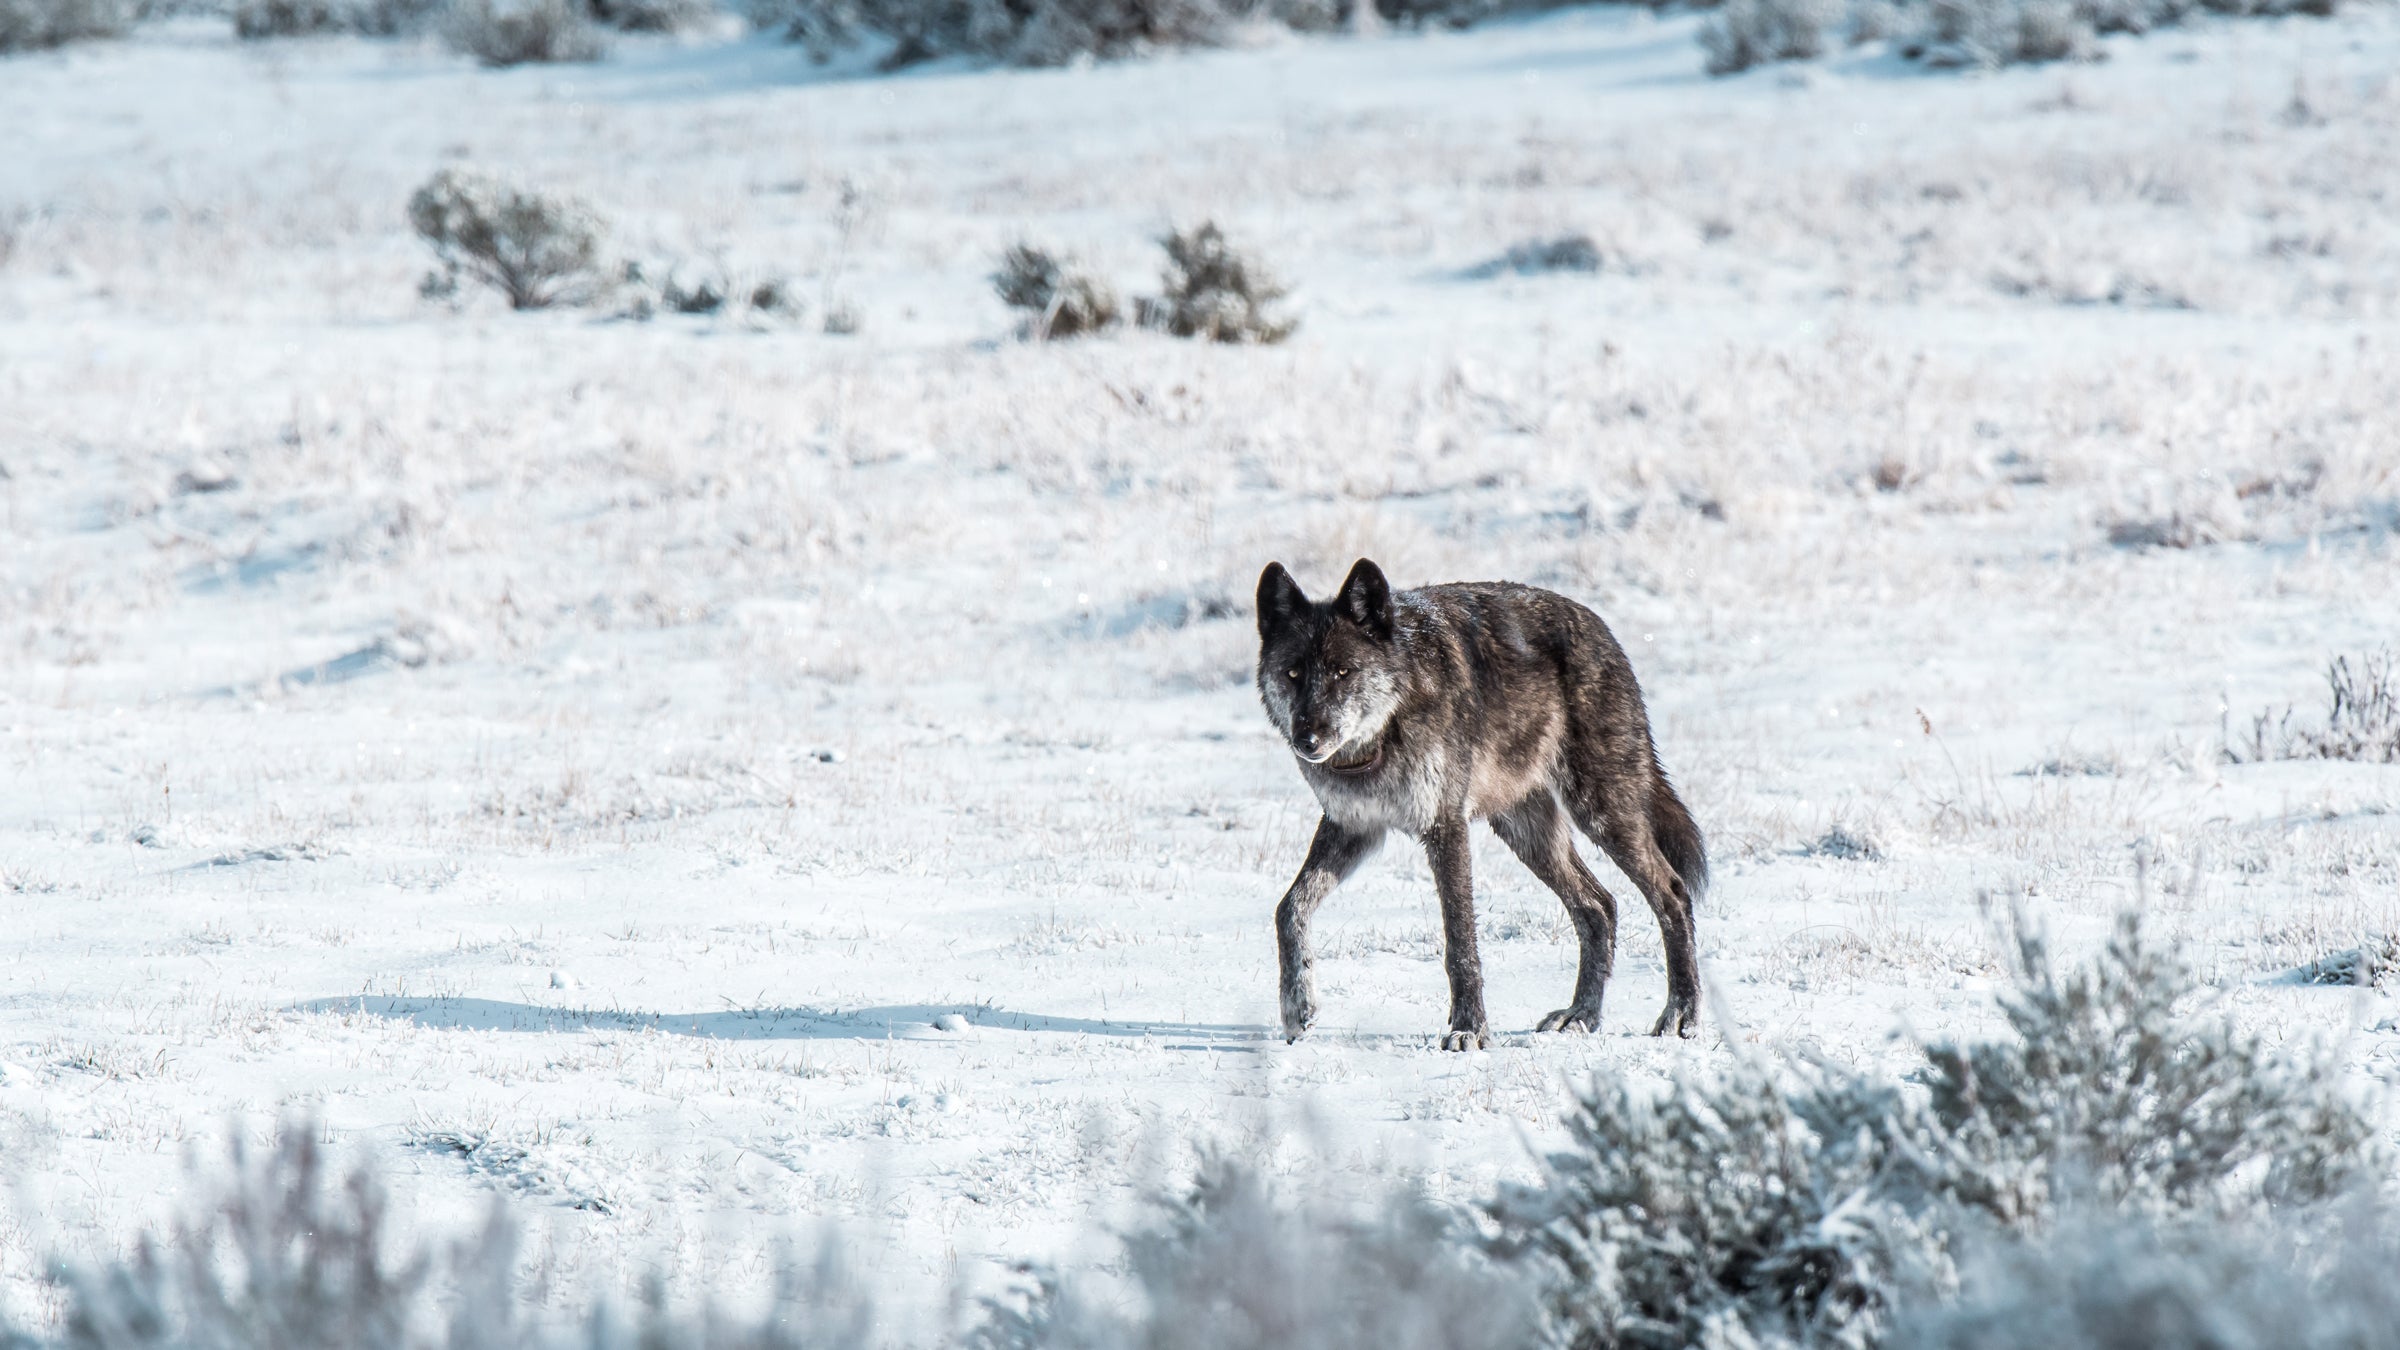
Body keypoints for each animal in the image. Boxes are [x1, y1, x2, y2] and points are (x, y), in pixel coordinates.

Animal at [1256, 558, 1707, 1049]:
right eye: (1293, 673)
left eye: (1343, 672)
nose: (1307, 739)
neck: (1382, 735)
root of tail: (1602, 630)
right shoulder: (1353, 827)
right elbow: (1288, 909)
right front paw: (1297, 1006)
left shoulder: (1445, 827)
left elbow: (1459, 942)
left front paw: (1468, 1029)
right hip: (1527, 832)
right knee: (1598, 906)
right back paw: (1581, 1015)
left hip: (1601, 810)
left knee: (1672, 892)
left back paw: (1682, 1014)